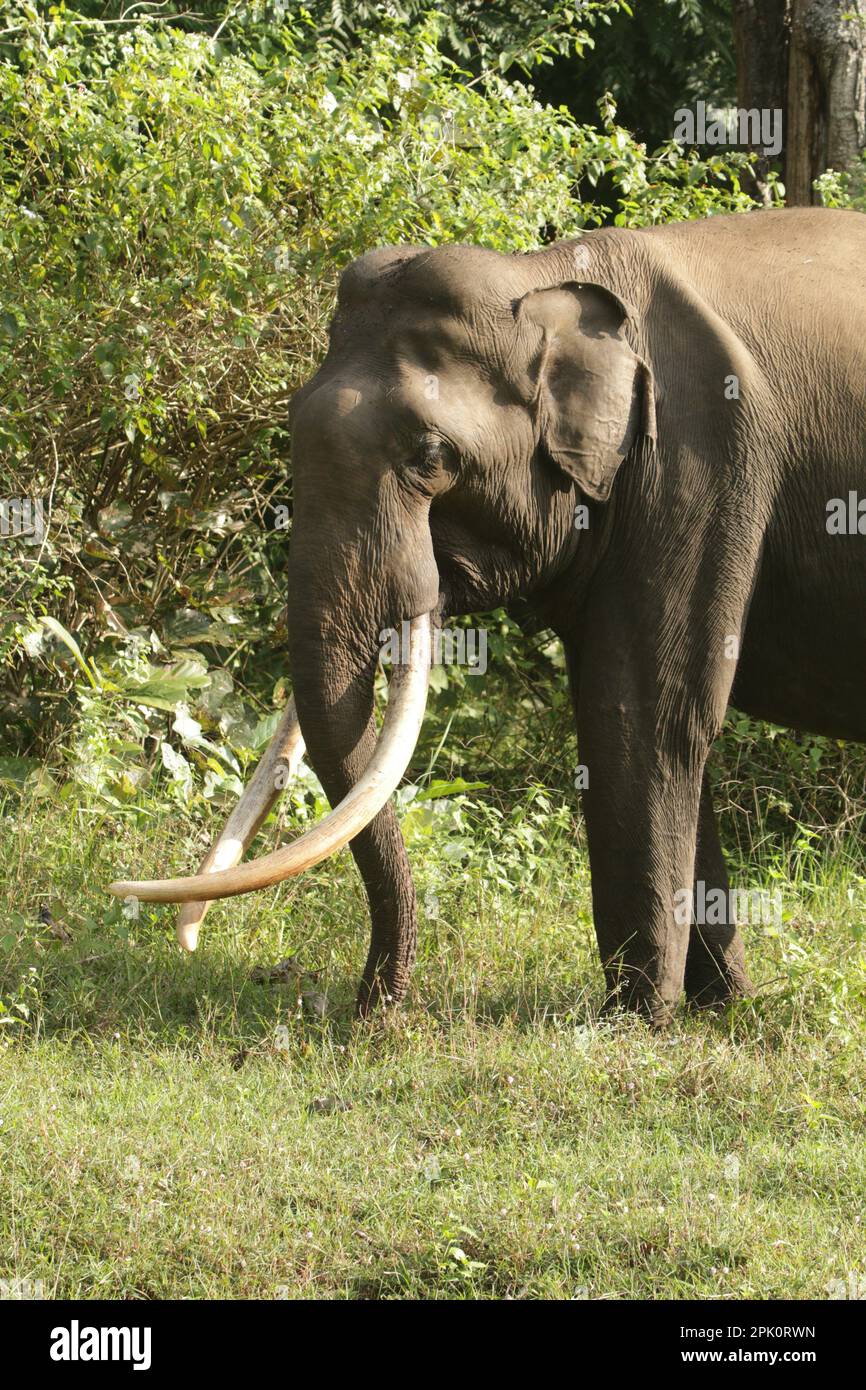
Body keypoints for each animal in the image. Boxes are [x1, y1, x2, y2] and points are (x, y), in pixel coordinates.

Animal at [110, 205, 866, 1025]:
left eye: (432, 457)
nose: (372, 1011)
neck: (545, 276)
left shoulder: (700, 466)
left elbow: (647, 715)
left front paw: (638, 1022)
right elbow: (659, 724)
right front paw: (716, 1010)